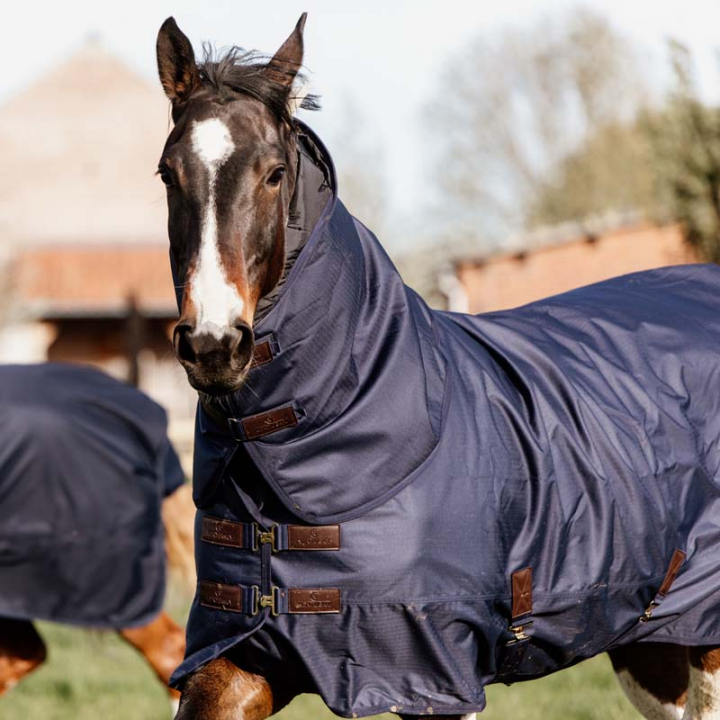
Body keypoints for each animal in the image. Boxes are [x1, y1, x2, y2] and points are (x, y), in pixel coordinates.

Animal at [155, 14, 720, 720]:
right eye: (168, 173)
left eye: (274, 174)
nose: (213, 343)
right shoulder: (236, 657)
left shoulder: (434, 674)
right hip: (652, 642)